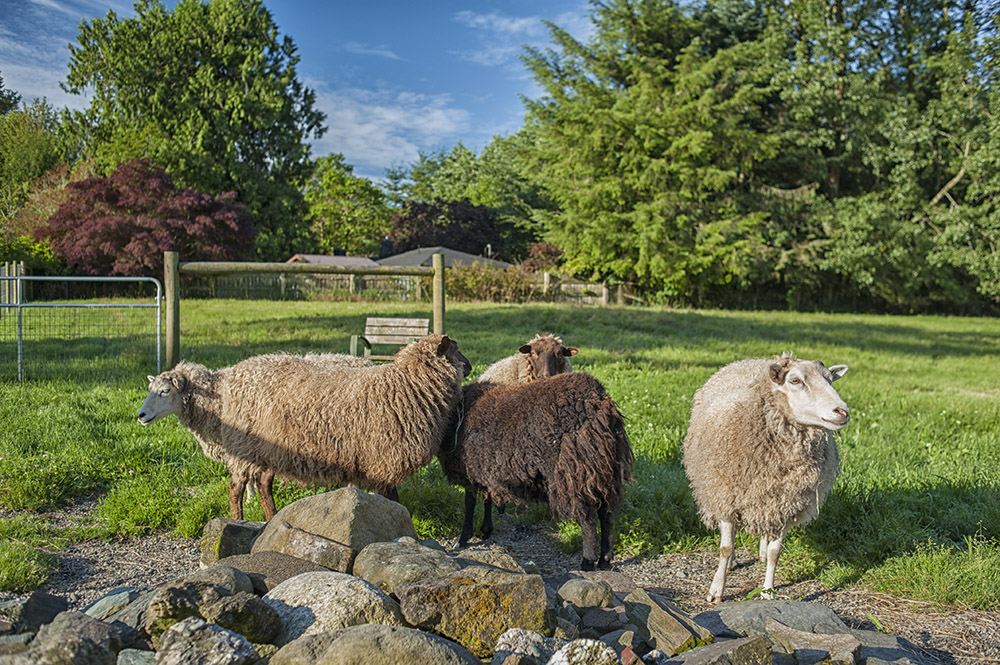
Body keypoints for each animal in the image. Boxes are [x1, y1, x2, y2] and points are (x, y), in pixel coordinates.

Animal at [138, 353, 374, 520]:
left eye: (165, 391)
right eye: (150, 388)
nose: (141, 416)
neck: (214, 395)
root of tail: (364, 361)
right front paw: (251, 498)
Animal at [440, 371, 634, 570]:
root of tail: (597, 401)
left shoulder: (469, 472)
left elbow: (470, 503)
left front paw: (463, 538)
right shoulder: (485, 471)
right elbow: (488, 499)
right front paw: (486, 530)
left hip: (573, 471)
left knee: (588, 518)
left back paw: (587, 562)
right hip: (603, 470)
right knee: (607, 514)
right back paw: (605, 559)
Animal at [681, 353, 851, 603]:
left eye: (831, 379)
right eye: (795, 381)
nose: (843, 412)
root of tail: (753, 359)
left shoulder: (787, 505)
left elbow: (775, 552)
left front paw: (768, 591)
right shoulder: (726, 497)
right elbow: (725, 548)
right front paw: (716, 590)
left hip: (768, 500)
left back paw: (760, 552)